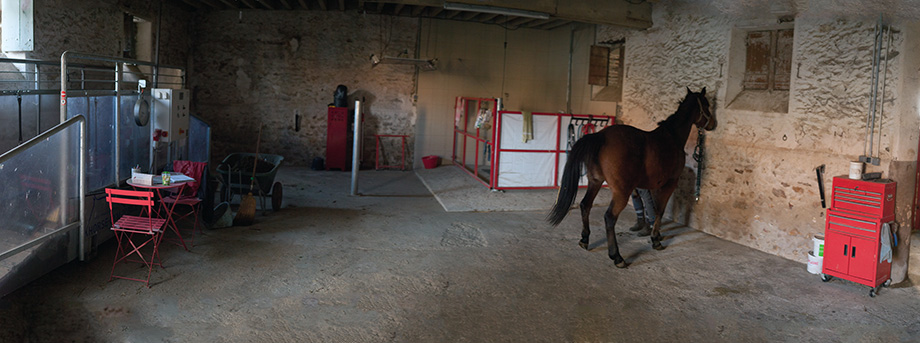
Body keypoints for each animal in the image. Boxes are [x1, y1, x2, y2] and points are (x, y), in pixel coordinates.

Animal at [548, 86, 720, 268]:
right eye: (707, 104)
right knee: (609, 217)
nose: (713, 124)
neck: (672, 137)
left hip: (595, 182)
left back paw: (584, 240)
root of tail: (601, 136)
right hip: (620, 192)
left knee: (585, 205)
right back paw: (617, 257)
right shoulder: (669, 184)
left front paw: (654, 234)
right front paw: (656, 240)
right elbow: (659, 210)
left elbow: (652, 209)